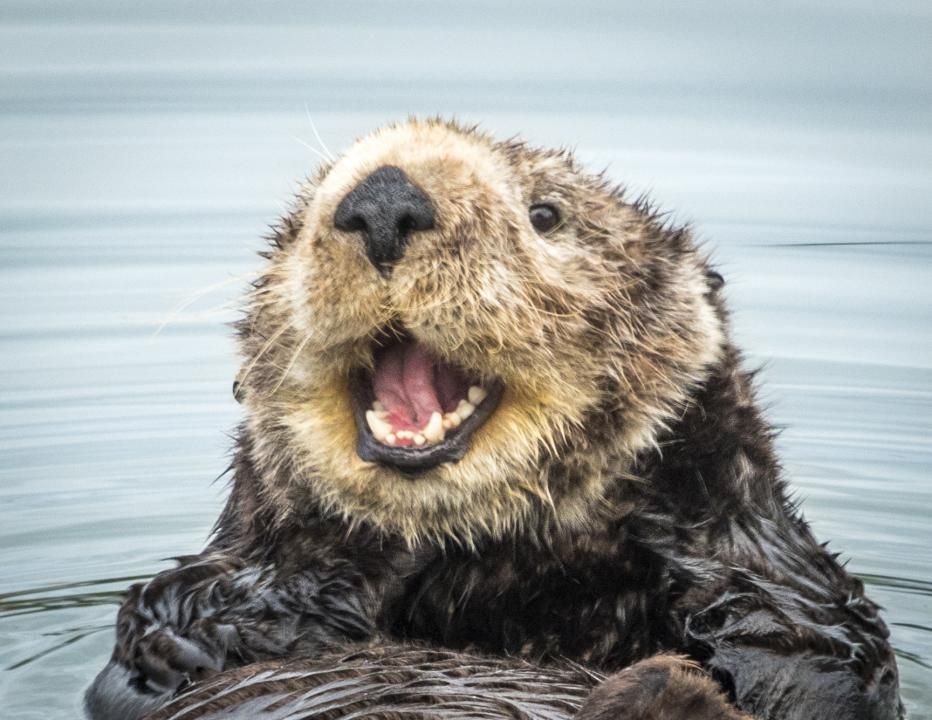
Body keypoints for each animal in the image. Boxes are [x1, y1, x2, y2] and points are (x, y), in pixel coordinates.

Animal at [83, 121, 900, 720]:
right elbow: (184, 618)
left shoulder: (788, 589)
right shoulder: (184, 620)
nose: (383, 198)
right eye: (307, 207)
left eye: (545, 214)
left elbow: (805, 648)